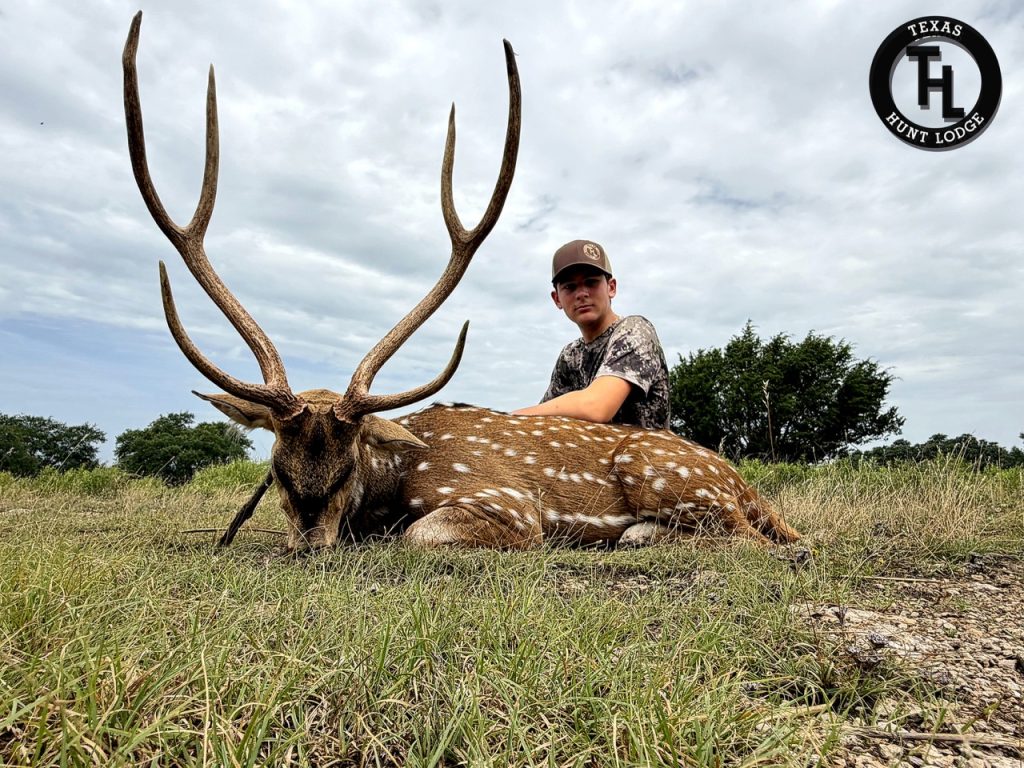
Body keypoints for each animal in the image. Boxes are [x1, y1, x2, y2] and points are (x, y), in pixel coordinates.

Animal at [123, 13, 801, 553]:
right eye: (279, 473)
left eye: (345, 471)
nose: (311, 544)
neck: (392, 479)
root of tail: (750, 488)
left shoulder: (511, 504)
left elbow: (420, 533)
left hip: (667, 475)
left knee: (754, 541)